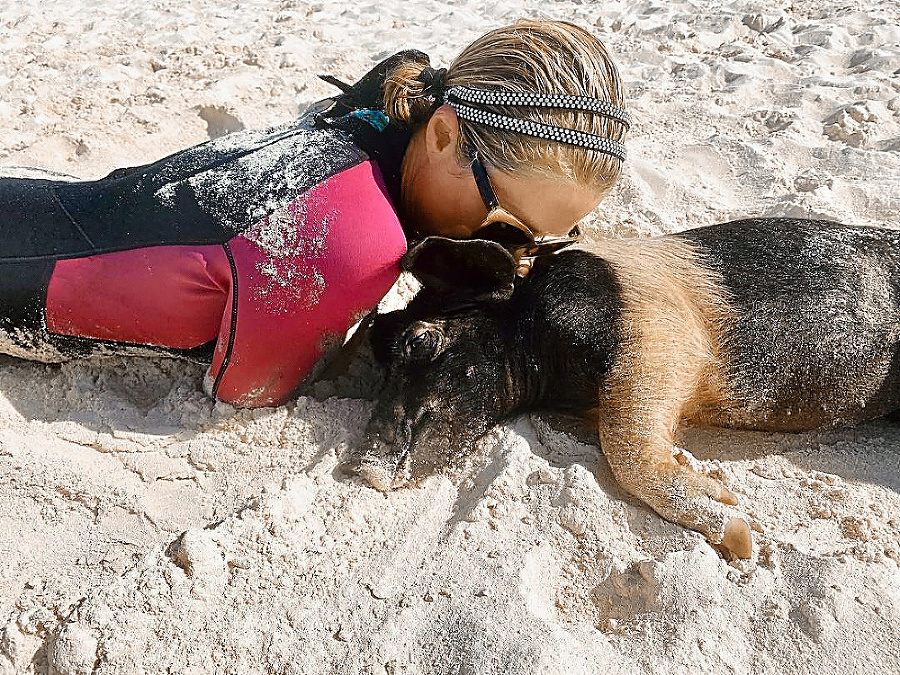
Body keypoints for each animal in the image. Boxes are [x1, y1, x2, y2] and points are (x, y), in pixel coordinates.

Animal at [352, 218, 900, 560]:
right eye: (382, 357)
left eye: (421, 340)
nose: (359, 469)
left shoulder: (658, 334)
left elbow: (622, 443)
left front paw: (740, 533)